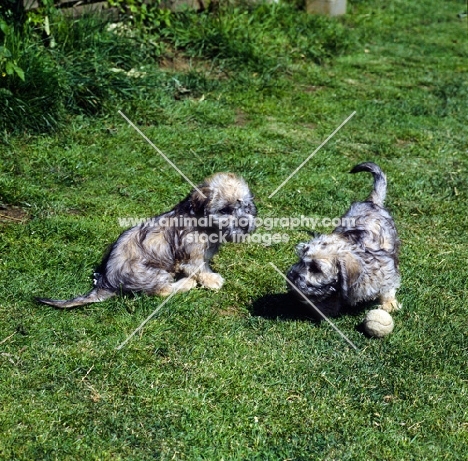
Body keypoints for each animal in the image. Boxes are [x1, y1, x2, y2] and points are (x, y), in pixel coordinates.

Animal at [36, 172, 256, 310]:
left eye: (246, 207)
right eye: (225, 210)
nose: (246, 225)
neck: (201, 221)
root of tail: (106, 281)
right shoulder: (190, 256)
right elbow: (199, 268)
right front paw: (212, 280)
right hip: (154, 273)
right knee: (163, 291)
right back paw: (185, 283)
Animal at [288, 162, 400, 316]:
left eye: (316, 269)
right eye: (300, 259)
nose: (290, 277)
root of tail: (370, 202)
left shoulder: (386, 271)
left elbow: (388, 287)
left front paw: (389, 304)